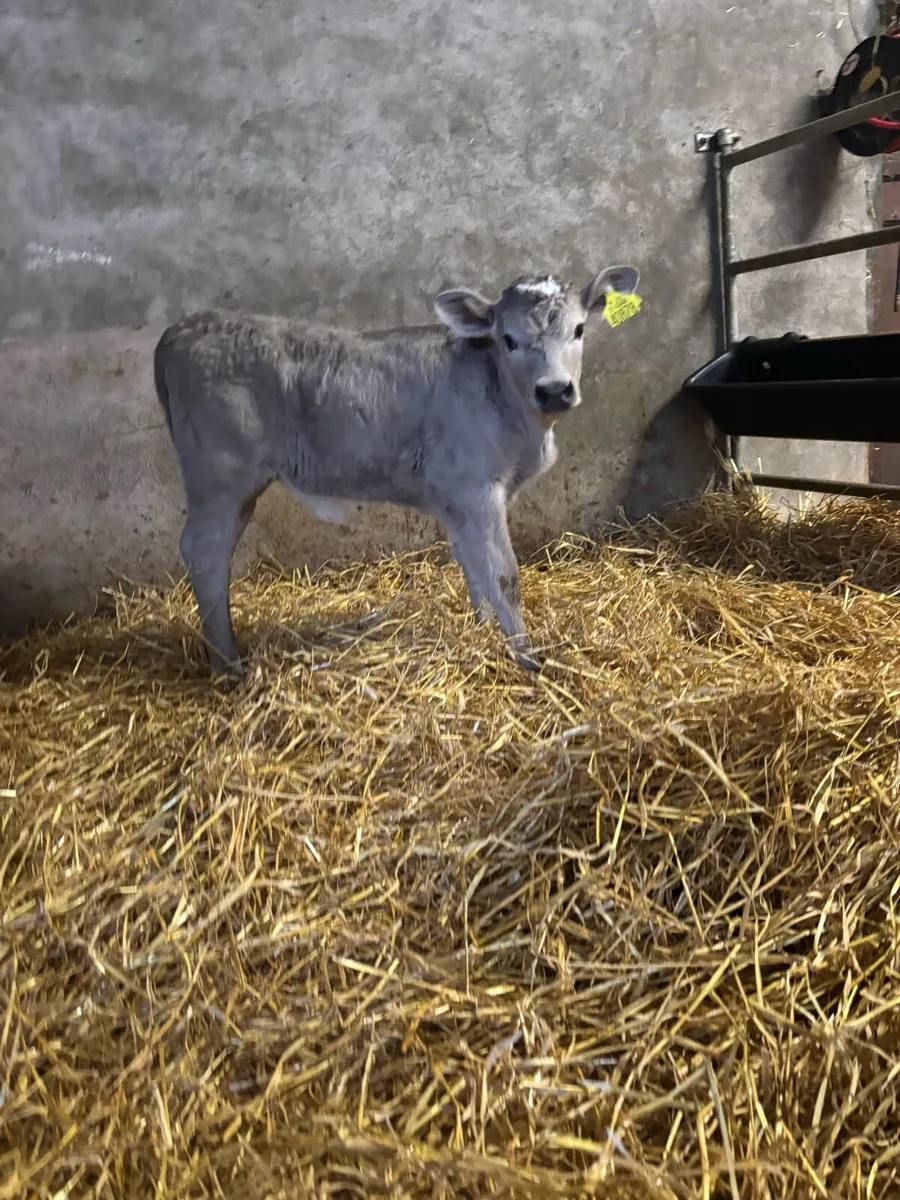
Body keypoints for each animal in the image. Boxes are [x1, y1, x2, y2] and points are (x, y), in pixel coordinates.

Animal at [153, 265, 640, 676]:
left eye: (579, 329)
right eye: (509, 339)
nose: (555, 389)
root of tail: (182, 328)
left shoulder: (455, 499)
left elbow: (473, 567)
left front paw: (481, 634)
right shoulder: (476, 489)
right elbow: (504, 574)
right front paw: (526, 657)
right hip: (218, 479)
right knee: (204, 553)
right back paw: (228, 665)